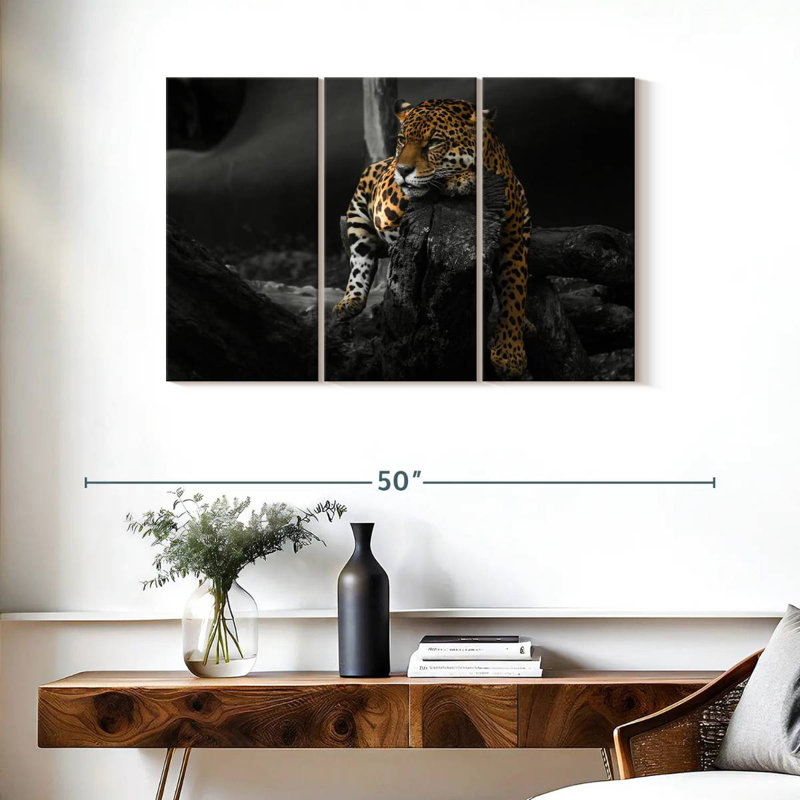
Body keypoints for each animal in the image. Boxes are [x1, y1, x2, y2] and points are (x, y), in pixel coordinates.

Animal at [332, 98, 531, 379]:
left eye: (434, 142)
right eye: (402, 140)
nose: (403, 169)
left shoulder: (512, 239)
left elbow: (515, 290)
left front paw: (510, 355)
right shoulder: (388, 196)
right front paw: (461, 178)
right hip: (361, 208)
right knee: (360, 259)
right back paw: (350, 301)